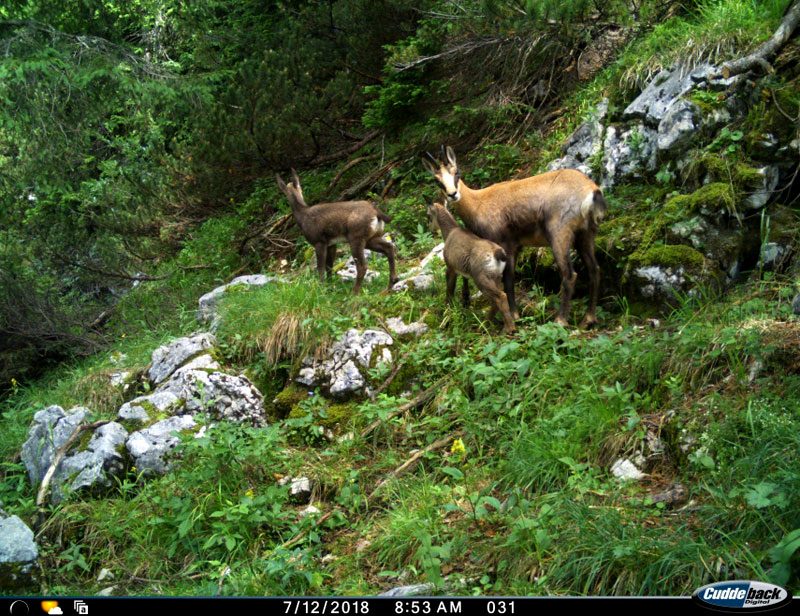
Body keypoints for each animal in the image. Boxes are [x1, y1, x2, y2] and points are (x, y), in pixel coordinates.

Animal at [427, 201, 516, 333]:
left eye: (428, 215)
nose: (430, 229)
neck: (450, 231)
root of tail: (497, 253)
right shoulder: (464, 271)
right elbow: (465, 284)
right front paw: (465, 302)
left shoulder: (451, 267)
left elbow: (449, 290)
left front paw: (448, 311)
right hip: (496, 277)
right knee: (497, 298)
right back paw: (484, 325)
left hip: (481, 278)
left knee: (500, 296)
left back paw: (508, 328)